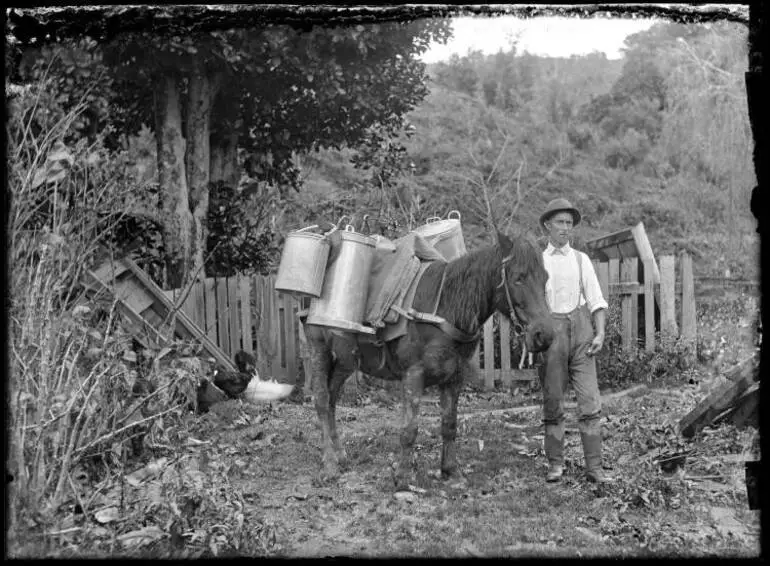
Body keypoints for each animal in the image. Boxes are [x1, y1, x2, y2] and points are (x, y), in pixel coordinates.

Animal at [300, 229, 552, 490]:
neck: (445, 309)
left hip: (346, 360)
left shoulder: (454, 377)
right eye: (518, 278)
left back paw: (340, 455)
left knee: (331, 399)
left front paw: (451, 471)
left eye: (545, 278)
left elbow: (449, 424)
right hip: (319, 350)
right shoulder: (413, 375)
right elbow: (410, 429)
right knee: (321, 401)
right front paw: (402, 477)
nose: (544, 335)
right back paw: (329, 465)